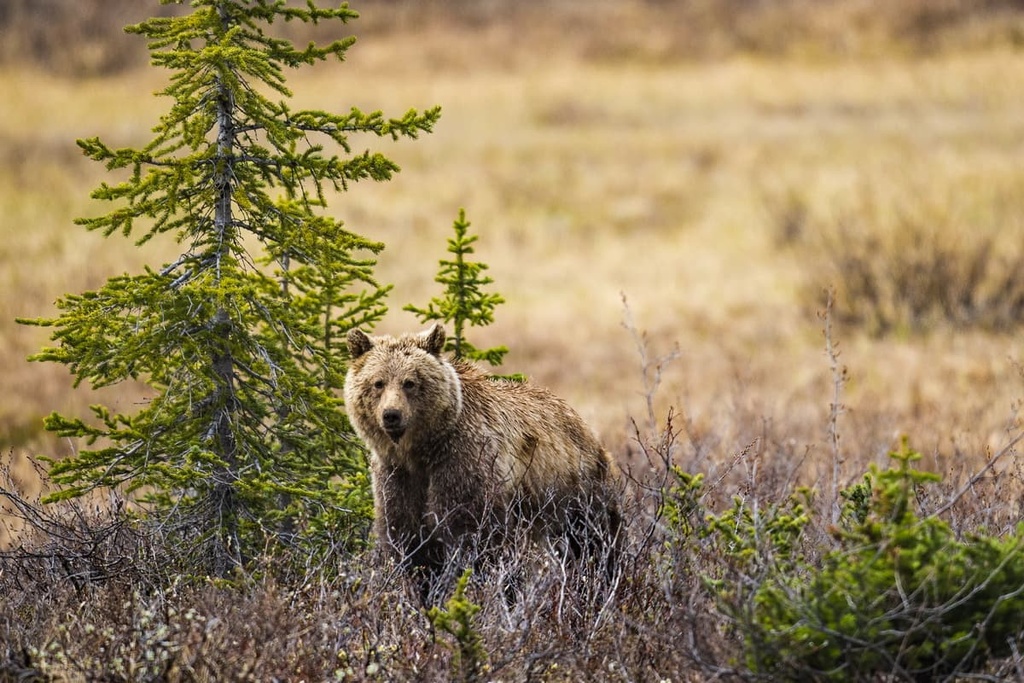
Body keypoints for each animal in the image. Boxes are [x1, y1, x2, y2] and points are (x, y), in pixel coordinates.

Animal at [344, 323, 621, 599]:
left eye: (410, 382)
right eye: (378, 382)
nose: (391, 415)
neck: (421, 451)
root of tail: (580, 421)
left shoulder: (463, 463)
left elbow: (475, 538)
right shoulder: (397, 476)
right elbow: (409, 540)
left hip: (577, 488)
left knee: (594, 540)